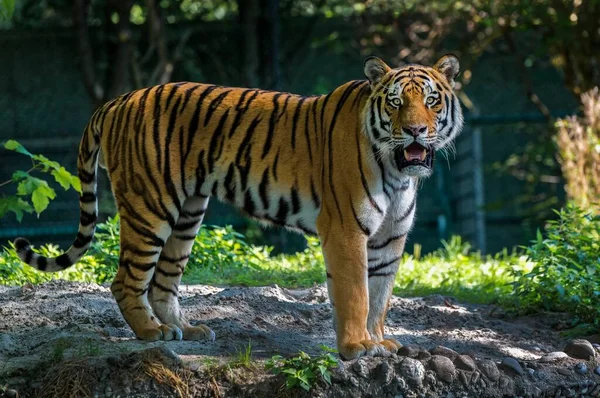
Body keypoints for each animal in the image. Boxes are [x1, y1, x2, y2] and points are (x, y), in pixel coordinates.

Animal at [12, 54, 464, 360]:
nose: (415, 131)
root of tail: (118, 100)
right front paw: (356, 347)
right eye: (395, 103)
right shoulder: (346, 229)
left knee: (162, 282)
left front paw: (379, 340)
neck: (398, 171)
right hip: (150, 206)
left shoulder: (390, 239)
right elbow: (356, 293)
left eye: (431, 101)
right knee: (125, 281)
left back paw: (186, 329)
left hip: (188, 213)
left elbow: (380, 295)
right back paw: (152, 334)